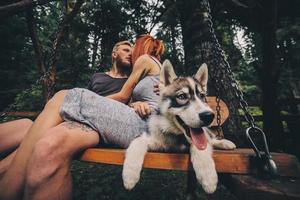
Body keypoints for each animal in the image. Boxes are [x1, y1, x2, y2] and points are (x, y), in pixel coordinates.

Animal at [123, 59, 236, 194]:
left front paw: (208, 177)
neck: (174, 134)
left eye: (202, 96)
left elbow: (201, 146)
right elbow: (136, 142)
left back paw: (225, 143)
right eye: (182, 96)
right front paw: (129, 176)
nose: (209, 116)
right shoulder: (151, 137)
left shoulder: (198, 138)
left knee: (211, 138)